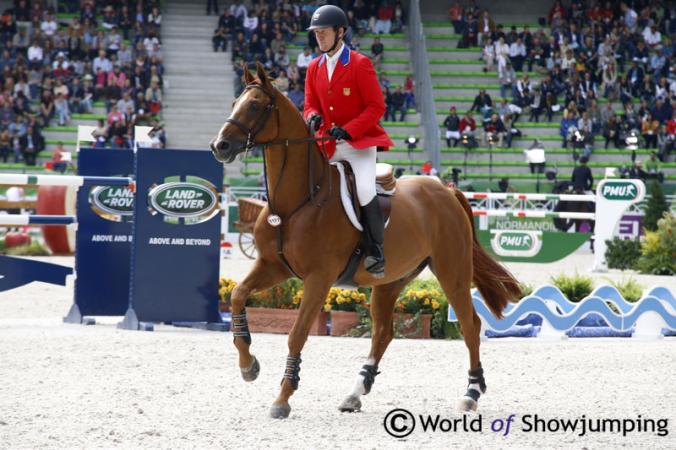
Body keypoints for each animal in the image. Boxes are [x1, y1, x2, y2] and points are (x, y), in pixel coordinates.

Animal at [210, 62, 522, 419]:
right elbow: (237, 295)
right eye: (235, 102)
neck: (297, 201)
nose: (219, 146)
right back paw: (355, 393)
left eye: (255, 105)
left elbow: (297, 334)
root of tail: (446, 189)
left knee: (470, 325)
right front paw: (248, 365)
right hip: (391, 280)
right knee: (383, 332)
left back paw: (471, 392)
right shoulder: (273, 266)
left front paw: (283, 398)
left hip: (451, 271)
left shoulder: (318, 278)